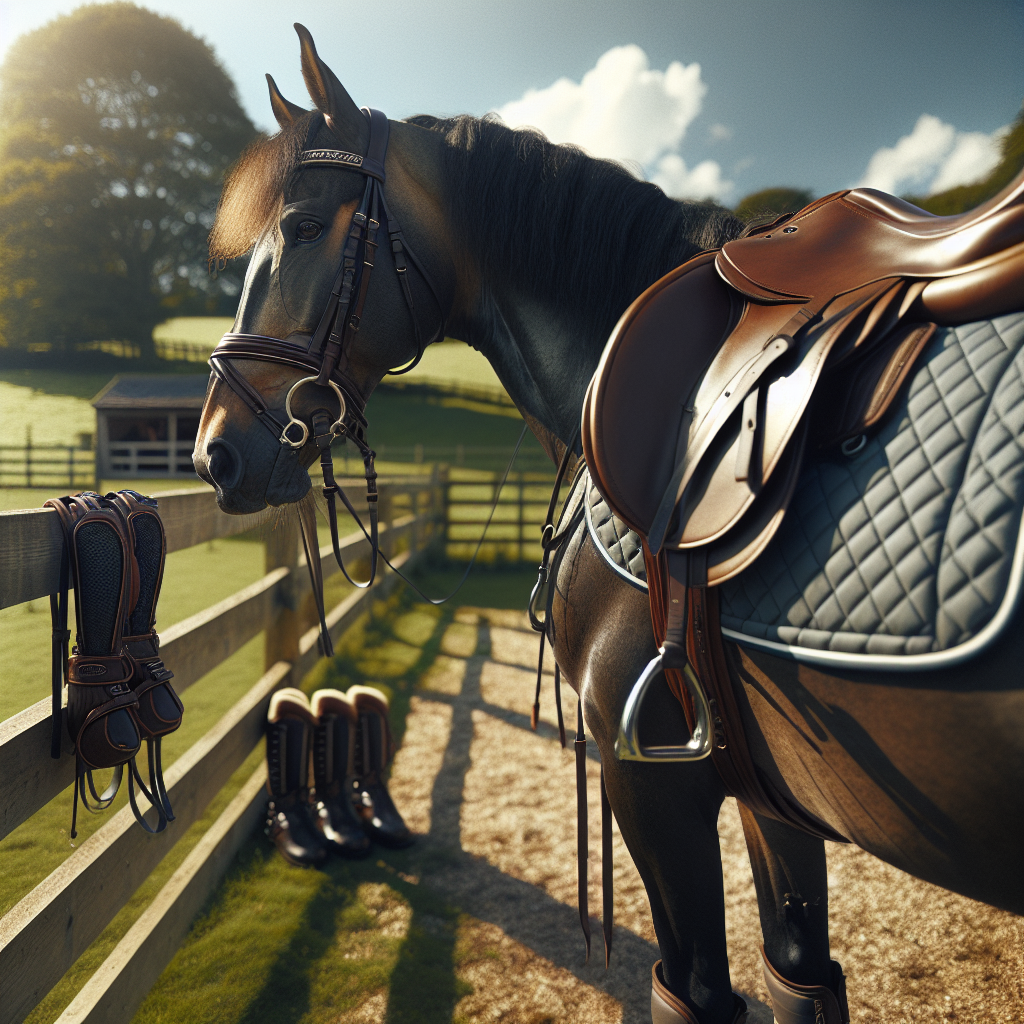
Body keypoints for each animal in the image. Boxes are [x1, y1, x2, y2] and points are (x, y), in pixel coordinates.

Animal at [192, 27, 1024, 1024]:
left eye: (309, 226)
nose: (215, 451)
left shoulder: (653, 784)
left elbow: (693, 990)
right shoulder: (771, 802)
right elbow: (800, 977)